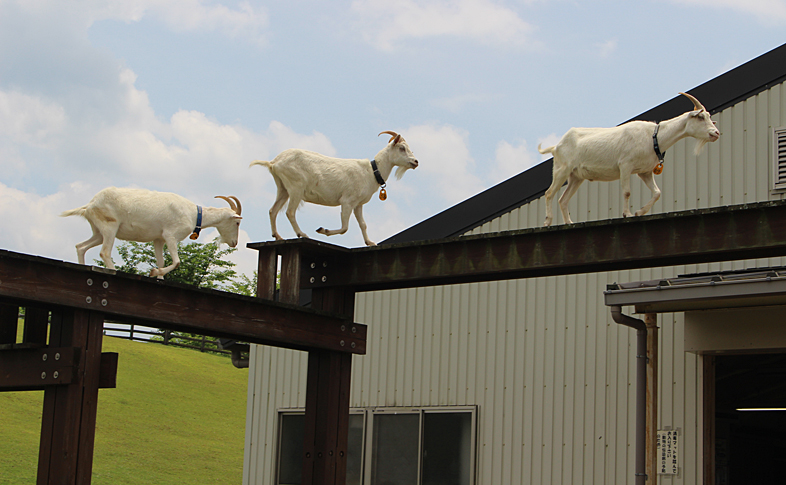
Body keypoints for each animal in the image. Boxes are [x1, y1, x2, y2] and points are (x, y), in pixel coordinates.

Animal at [61, 189, 242, 280]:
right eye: (237, 223)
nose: (234, 242)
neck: (194, 213)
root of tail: (90, 205)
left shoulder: (158, 239)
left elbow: (161, 261)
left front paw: (158, 274)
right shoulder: (170, 235)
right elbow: (177, 261)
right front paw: (154, 272)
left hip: (99, 231)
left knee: (81, 246)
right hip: (110, 226)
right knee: (104, 252)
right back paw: (113, 270)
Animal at [253, 130, 420, 246]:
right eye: (402, 148)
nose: (415, 162)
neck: (371, 172)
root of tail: (274, 163)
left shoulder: (357, 204)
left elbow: (363, 224)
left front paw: (370, 242)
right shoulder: (347, 201)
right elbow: (345, 227)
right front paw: (323, 230)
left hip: (283, 188)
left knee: (273, 210)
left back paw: (277, 236)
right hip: (296, 188)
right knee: (290, 212)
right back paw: (302, 234)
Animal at [536, 91, 720, 226]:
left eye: (710, 117)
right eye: (701, 117)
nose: (716, 133)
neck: (654, 137)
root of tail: (556, 146)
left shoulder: (645, 171)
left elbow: (657, 192)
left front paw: (639, 212)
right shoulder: (625, 165)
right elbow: (627, 192)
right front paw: (628, 214)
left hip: (576, 176)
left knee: (563, 199)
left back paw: (569, 222)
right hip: (562, 169)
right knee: (549, 193)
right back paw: (548, 222)